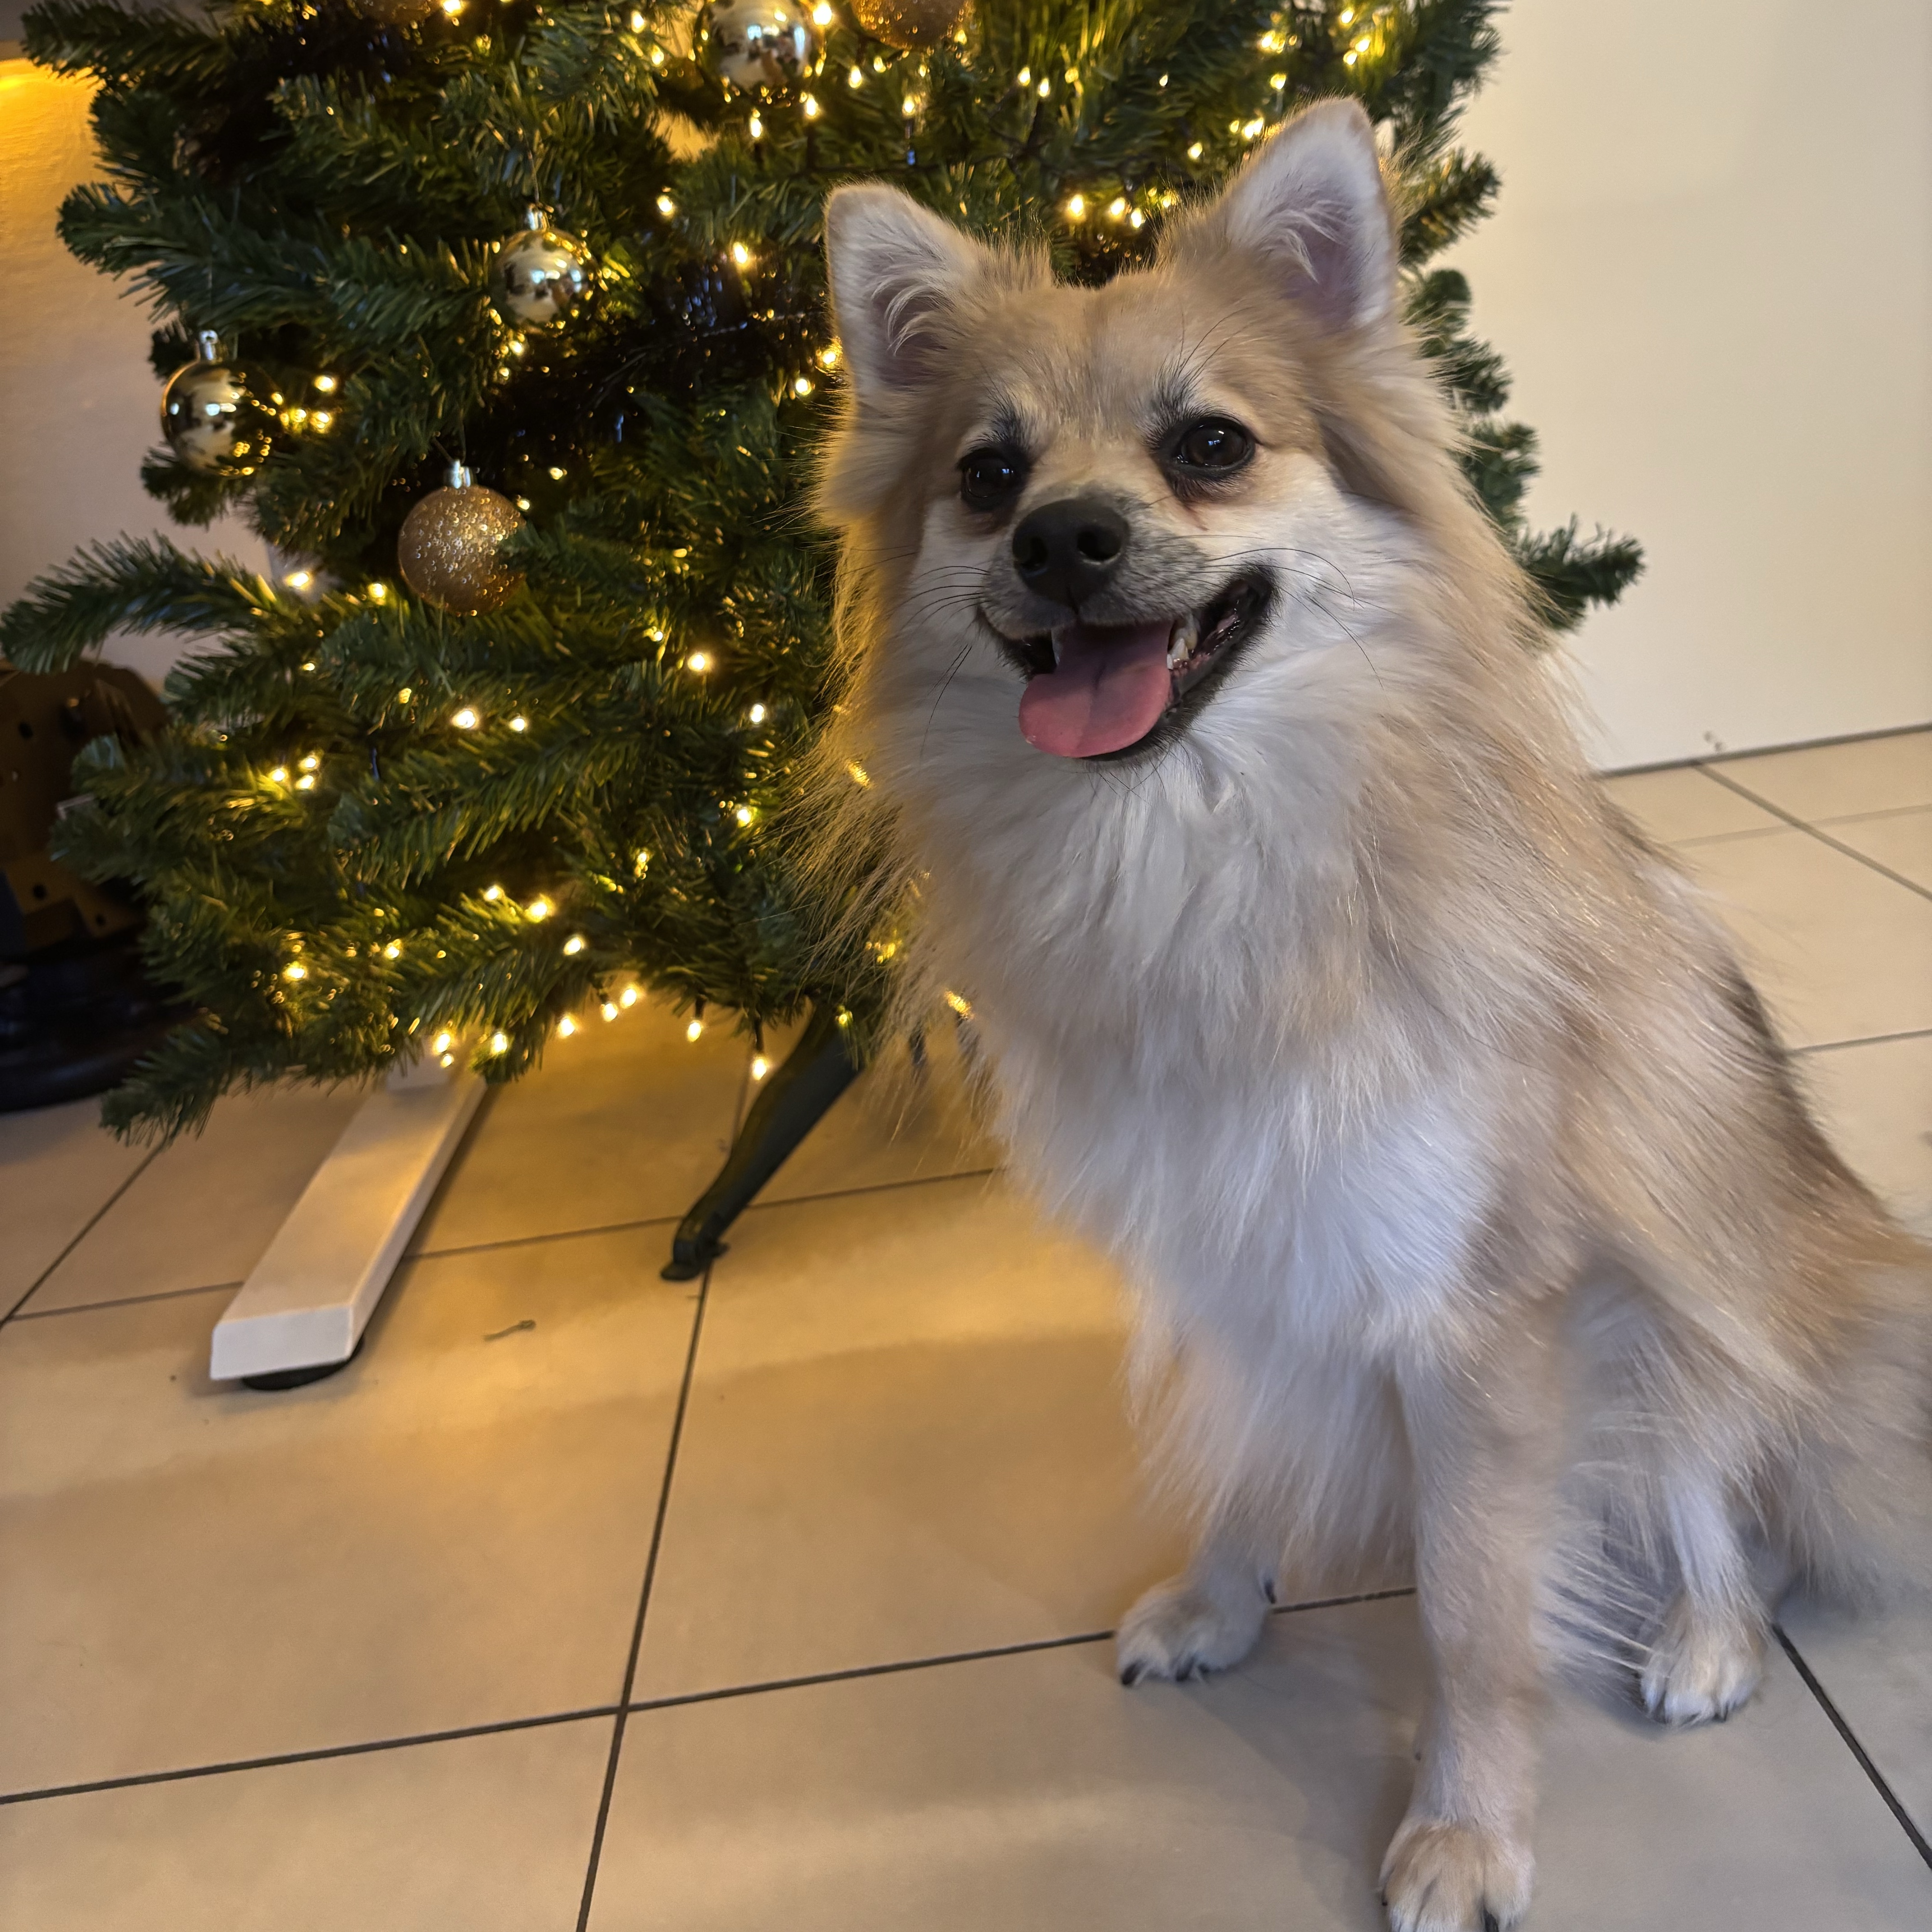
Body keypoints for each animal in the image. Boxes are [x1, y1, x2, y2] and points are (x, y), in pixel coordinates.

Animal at [812, 99, 1930, 1931]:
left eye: (1208, 445)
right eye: (987, 477)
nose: (1063, 538)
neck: (1198, 863)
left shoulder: (1474, 1318)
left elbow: (1477, 1616)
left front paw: (1467, 1831)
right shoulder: (1227, 1255)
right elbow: (1235, 1455)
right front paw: (1222, 1600)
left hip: (1691, 1275)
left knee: (1722, 1490)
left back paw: (1707, 1632)